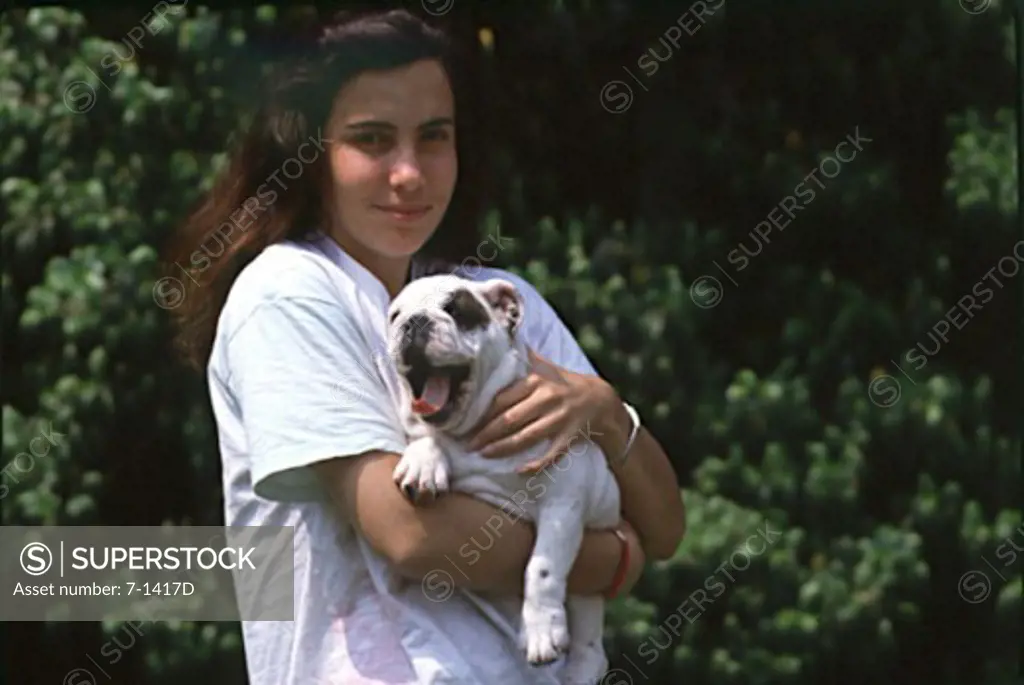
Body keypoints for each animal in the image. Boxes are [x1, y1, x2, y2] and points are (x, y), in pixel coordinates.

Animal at [387, 274, 618, 683]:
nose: (414, 322)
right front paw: (423, 461)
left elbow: (541, 568)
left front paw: (541, 631)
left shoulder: (563, 504)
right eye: (395, 316)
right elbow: (422, 433)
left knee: (590, 640)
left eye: (454, 309)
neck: (470, 430)